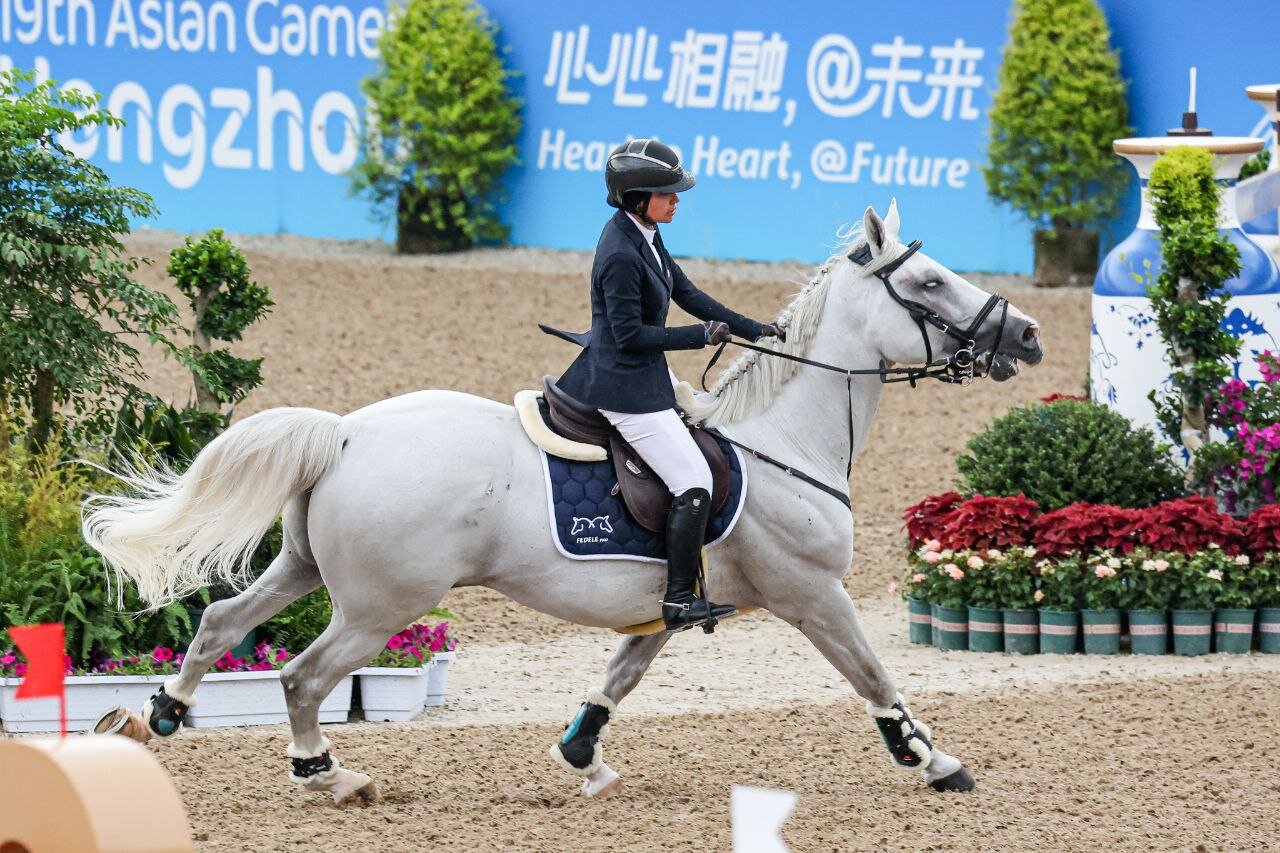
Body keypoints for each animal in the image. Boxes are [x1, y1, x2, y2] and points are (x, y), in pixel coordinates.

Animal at [80, 202, 1039, 799]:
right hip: (381, 603)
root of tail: (345, 432)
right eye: (930, 284)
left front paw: (583, 756)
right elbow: (874, 674)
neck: (786, 439)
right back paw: (328, 774)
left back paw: (160, 711)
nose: (1026, 335)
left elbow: (621, 674)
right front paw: (936, 760)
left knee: (223, 620)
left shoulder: (668, 603)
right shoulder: (811, 593)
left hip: (305, 566)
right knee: (301, 673)